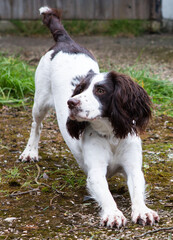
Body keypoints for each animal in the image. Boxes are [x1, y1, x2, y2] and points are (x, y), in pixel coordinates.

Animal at [18, 5, 158, 227]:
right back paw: (30, 152)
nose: (70, 103)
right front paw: (113, 213)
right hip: (39, 101)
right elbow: (106, 194)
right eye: (80, 89)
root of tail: (65, 40)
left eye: (100, 90)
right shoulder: (95, 172)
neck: (111, 135)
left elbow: (136, 189)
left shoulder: (134, 167)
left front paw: (143, 211)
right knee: (36, 125)